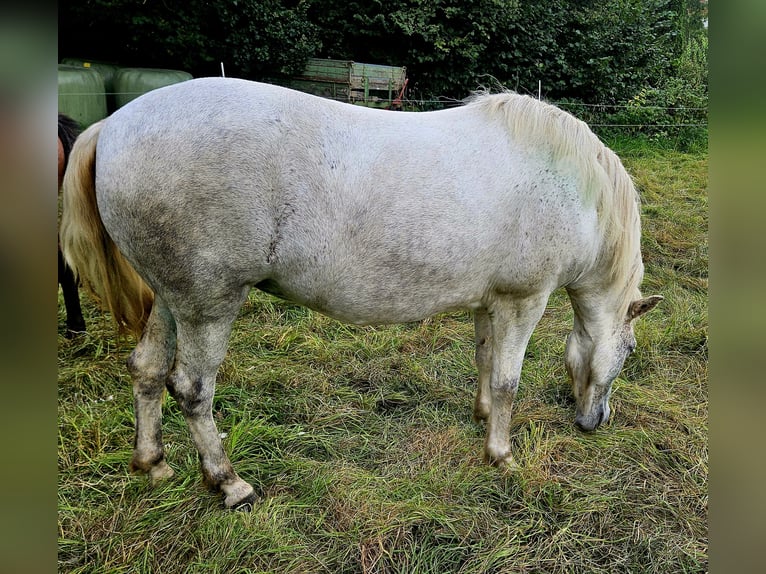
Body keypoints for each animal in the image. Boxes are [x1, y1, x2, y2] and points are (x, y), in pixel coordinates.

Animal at [60, 77, 664, 512]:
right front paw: (502, 455)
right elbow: (508, 381)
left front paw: (481, 415)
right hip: (209, 306)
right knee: (191, 389)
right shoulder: (523, 301)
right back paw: (230, 483)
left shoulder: (490, 303)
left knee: (146, 370)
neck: (569, 183)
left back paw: (153, 464)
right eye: (631, 351)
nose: (596, 422)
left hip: (172, 300)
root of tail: (111, 126)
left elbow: (485, 362)